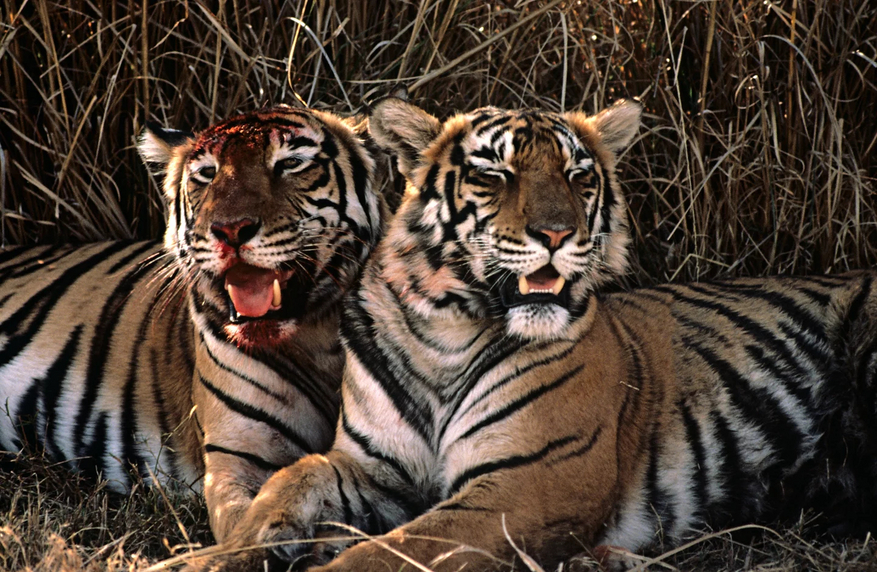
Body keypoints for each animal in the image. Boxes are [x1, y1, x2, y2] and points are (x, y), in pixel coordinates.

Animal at [0, 106, 384, 543]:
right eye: (207, 173)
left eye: (291, 163)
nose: (230, 230)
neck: (316, 340)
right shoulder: (238, 458)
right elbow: (252, 525)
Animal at [192, 98, 877, 572]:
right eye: (495, 174)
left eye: (578, 176)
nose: (556, 234)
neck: (444, 332)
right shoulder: (372, 466)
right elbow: (290, 481)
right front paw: (225, 554)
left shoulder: (531, 480)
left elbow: (396, 550)